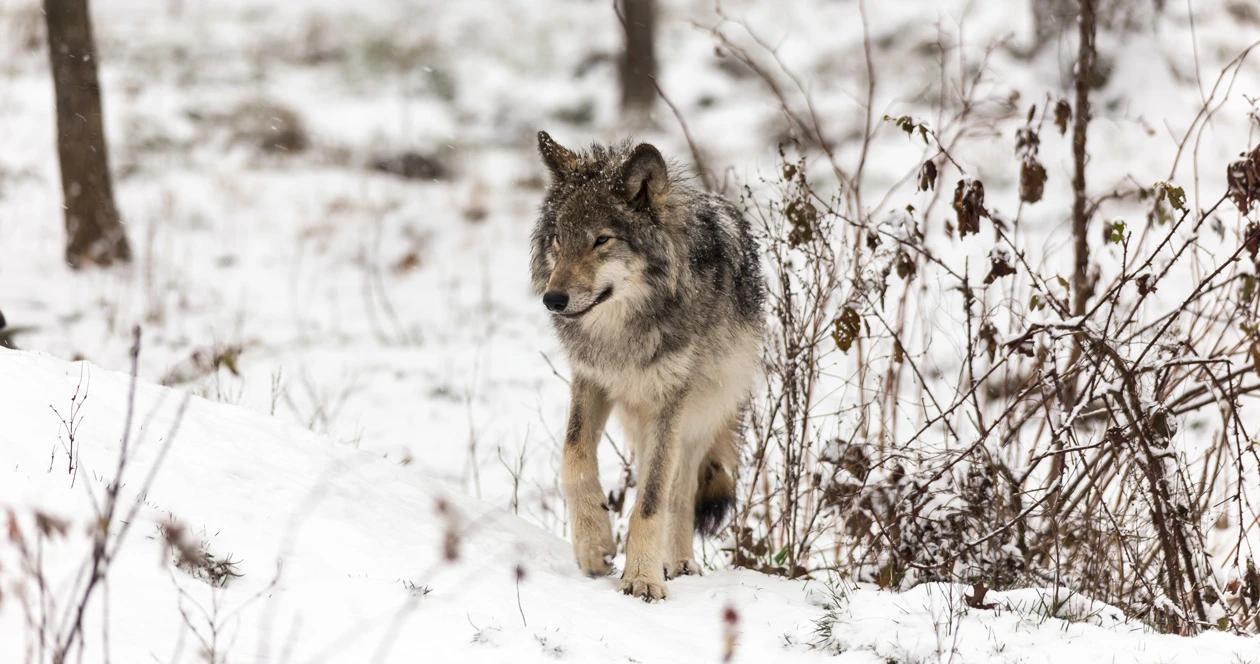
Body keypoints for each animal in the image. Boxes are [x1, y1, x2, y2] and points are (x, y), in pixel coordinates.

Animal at [526, 132, 761, 599]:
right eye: (558, 237)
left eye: (601, 240)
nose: (553, 299)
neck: (621, 332)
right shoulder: (591, 379)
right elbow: (573, 457)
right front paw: (594, 545)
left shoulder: (670, 400)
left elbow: (652, 499)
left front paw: (642, 579)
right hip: (637, 418)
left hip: (697, 416)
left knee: (680, 488)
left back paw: (679, 563)